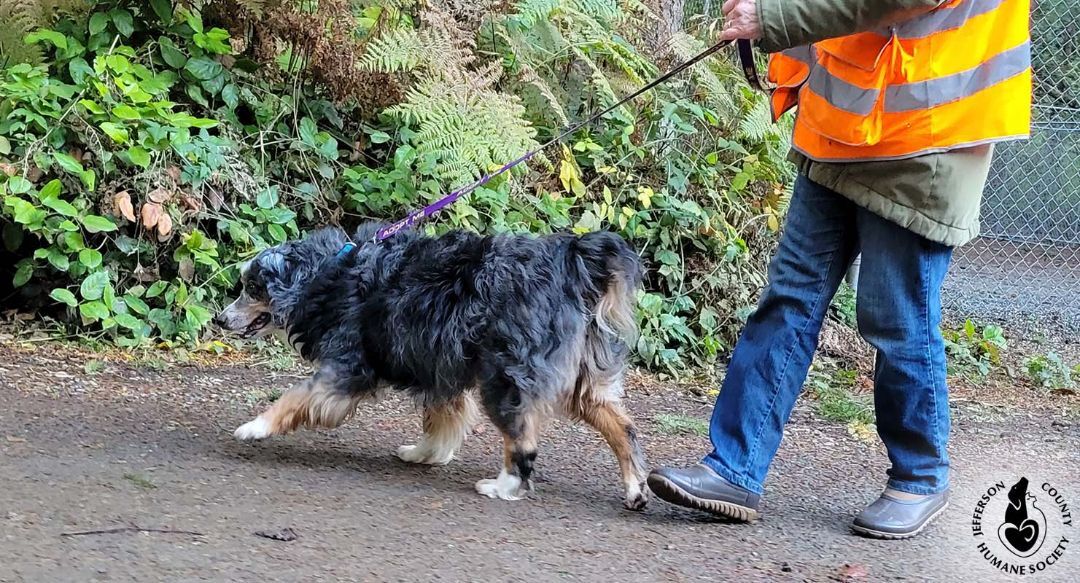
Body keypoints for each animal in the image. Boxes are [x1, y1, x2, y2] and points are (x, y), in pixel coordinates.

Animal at [214, 225, 643, 507]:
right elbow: (442, 420)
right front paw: (426, 453)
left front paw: (255, 427)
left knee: (523, 444)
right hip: (581, 382)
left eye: (252, 288)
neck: (329, 274)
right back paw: (635, 488)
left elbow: (294, 397)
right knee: (622, 427)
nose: (219, 319)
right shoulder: (438, 369)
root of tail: (572, 262)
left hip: (506, 377)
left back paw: (503, 487)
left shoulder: (346, 370)